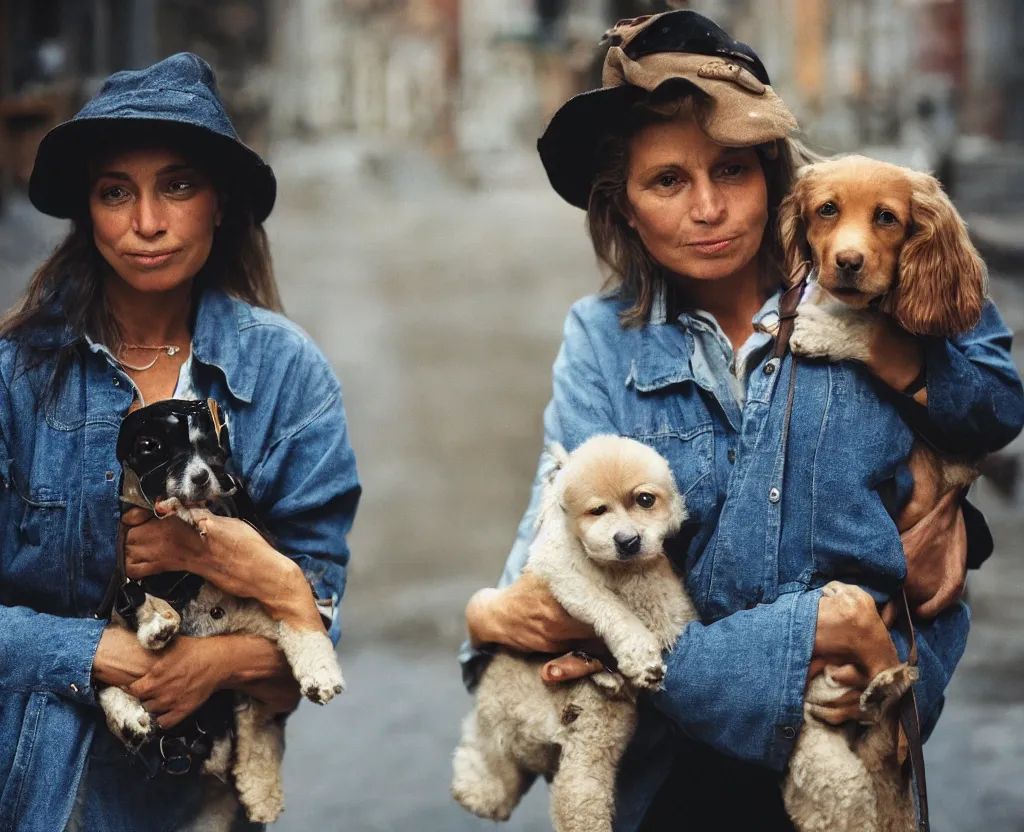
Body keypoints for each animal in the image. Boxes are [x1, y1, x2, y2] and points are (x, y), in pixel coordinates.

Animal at [96, 399, 344, 827]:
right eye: (150, 446)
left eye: (214, 449)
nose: (202, 478)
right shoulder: (128, 566)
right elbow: (133, 599)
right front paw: (156, 620)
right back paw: (131, 715)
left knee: (259, 720)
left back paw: (262, 786)